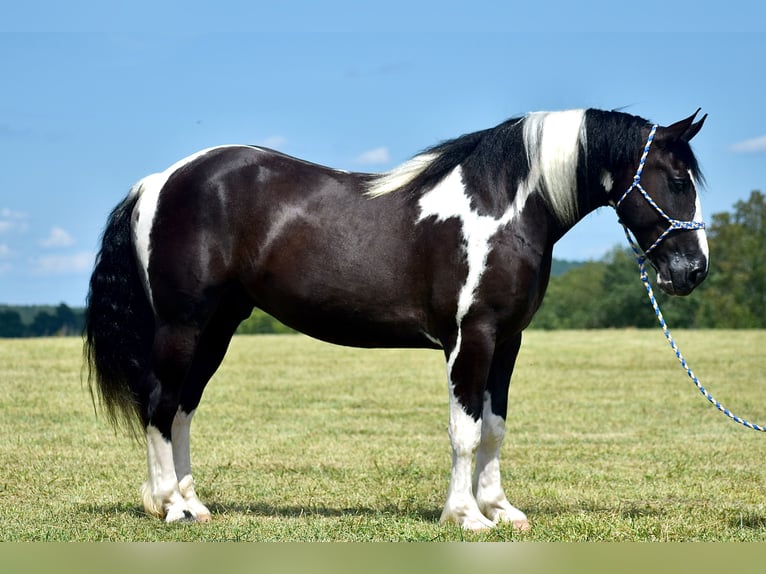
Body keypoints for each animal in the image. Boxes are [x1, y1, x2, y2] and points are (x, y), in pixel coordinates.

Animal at [82, 107, 708, 532]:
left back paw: (193, 504)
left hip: (218, 327)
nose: (693, 270)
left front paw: (500, 509)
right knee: (160, 405)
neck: (501, 209)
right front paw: (466, 516)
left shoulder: (508, 342)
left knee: (183, 409)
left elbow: (495, 427)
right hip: (183, 326)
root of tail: (159, 181)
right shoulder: (472, 338)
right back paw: (169, 507)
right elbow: (465, 430)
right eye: (678, 180)